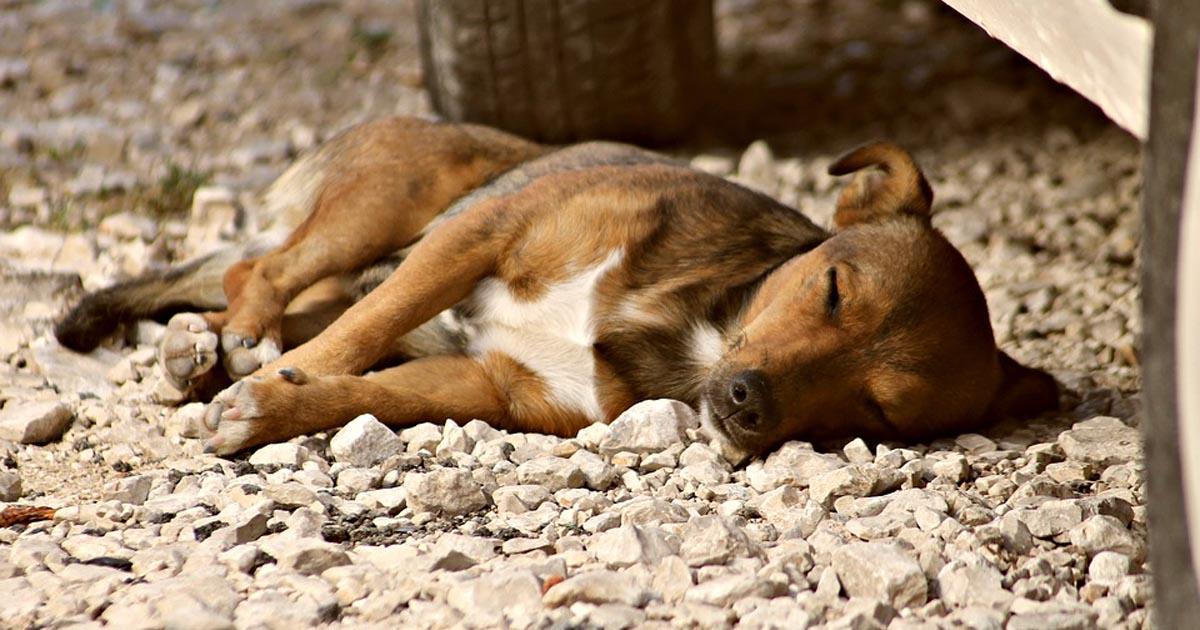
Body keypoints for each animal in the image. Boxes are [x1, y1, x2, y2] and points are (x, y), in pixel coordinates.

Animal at [54, 117, 1060, 458]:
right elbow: (353, 344)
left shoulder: (495, 387)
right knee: (258, 271)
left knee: (260, 290)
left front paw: (271, 407)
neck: (694, 326)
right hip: (393, 206)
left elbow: (365, 392)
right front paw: (270, 384)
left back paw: (203, 352)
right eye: (833, 290)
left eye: (880, 410)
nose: (745, 403)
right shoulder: (479, 234)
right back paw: (228, 344)